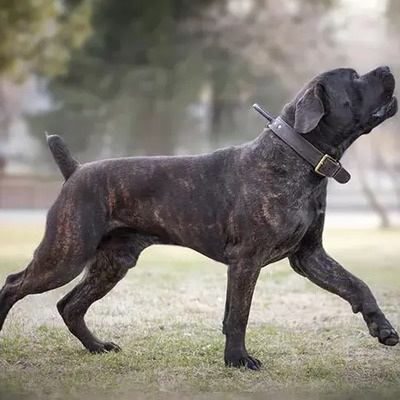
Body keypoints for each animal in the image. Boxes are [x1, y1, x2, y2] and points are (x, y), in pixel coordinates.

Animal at [0, 67, 398, 370]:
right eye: (354, 78)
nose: (386, 68)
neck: (298, 155)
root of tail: (76, 171)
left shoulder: (309, 256)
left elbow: (356, 285)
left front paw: (382, 328)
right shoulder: (247, 260)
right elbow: (239, 315)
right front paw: (238, 360)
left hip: (111, 264)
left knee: (70, 305)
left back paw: (97, 347)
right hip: (64, 256)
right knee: (14, 284)